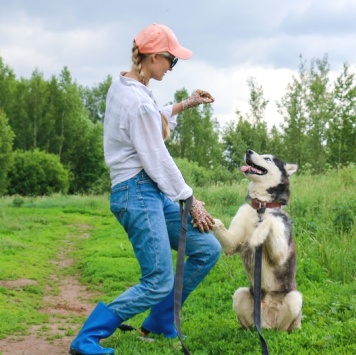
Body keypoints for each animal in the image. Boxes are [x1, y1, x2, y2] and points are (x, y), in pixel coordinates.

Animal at [213, 149, 302, 334]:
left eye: (268, 158)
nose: (248, 151)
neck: (261, 207)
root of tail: (267, 324)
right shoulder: (233, 242)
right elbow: (219, 224)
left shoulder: (280, 253)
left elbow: (269, 223)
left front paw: (257, 235)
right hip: (239, 294)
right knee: (248, 324)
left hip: (295, 299)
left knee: (283, 329)